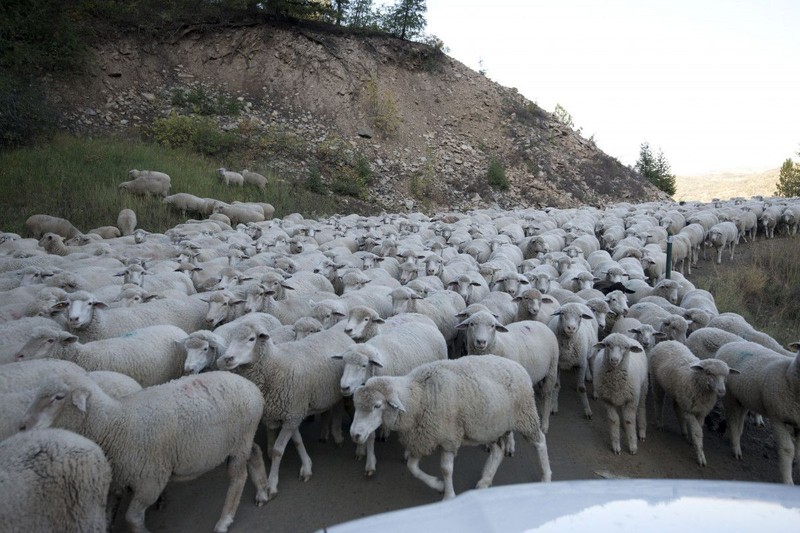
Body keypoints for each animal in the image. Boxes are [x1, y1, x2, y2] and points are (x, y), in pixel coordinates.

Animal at [18, 370, 268, 532]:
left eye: (58, 397)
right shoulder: (118, 481)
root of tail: (252, 387)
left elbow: (132, 517)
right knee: (255, 452)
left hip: (238, 443)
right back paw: (263, 491)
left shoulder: (151, 479)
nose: (22, 427)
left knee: (238, 477)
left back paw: (224, 520)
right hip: (242, 440)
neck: (114, 425)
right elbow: (109, 515)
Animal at [220, 320, 354, 498]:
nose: (228, 358)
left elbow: (278, 450)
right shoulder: (291, 414)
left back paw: (338, 436)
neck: (275, 365)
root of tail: (339, 332)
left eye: (251, 339)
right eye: (232, 337)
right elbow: (297, 441)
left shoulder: (293, 415)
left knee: (340, 408)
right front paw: (307, 466)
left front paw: (271, 485)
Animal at [350, 354, 552, 498]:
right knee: (498, 450)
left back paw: (546, 476)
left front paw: (448, 495)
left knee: (540, 441)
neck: (419, 395)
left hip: (525, 416)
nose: (354, 435)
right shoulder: (423, 437)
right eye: (356, 405)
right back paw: (485, 481)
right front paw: (438, 485)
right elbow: (412, 467)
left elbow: (446, 469)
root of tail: (518, 366)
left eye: (377, 406)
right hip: (490, 425)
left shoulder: (448, 437)